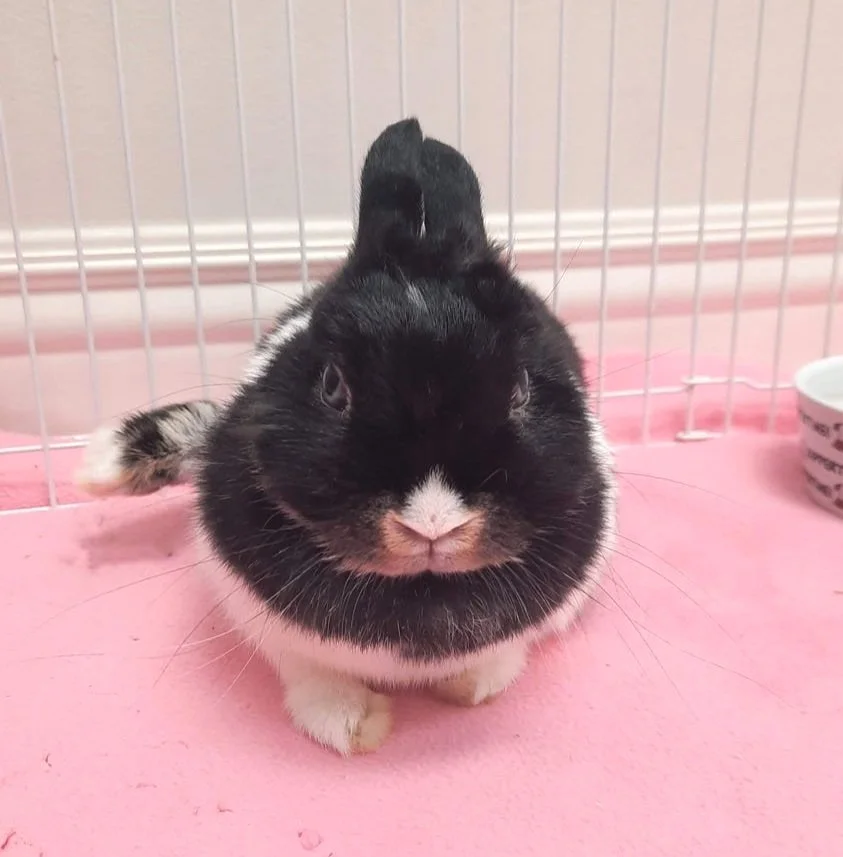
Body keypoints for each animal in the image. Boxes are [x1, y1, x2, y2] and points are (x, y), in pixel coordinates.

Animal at [76, 118, 616, 756]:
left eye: (522, 388)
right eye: (333, 385)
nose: (432, 525)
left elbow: (501, 656)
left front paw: (472, 687)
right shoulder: (269, 626)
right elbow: (312, 672)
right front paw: (352, 725)